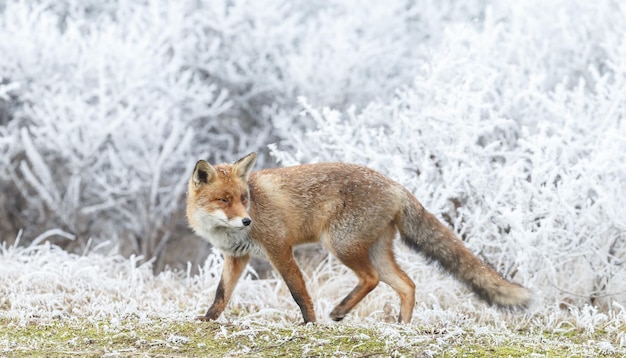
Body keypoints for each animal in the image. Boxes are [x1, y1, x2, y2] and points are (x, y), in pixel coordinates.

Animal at [184, 152, 528, 324]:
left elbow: (299, 292)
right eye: (224, 200)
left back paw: (340, 311)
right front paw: (207, 320)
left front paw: (310, 324)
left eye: (244, 198)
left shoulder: (279, 249)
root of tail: (394, 184)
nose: (247, 220)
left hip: (341, 246)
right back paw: (402, 326)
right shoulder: (236, 256)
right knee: (407, 284)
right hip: (374, 250)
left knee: (371, 279)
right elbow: (221, 294)